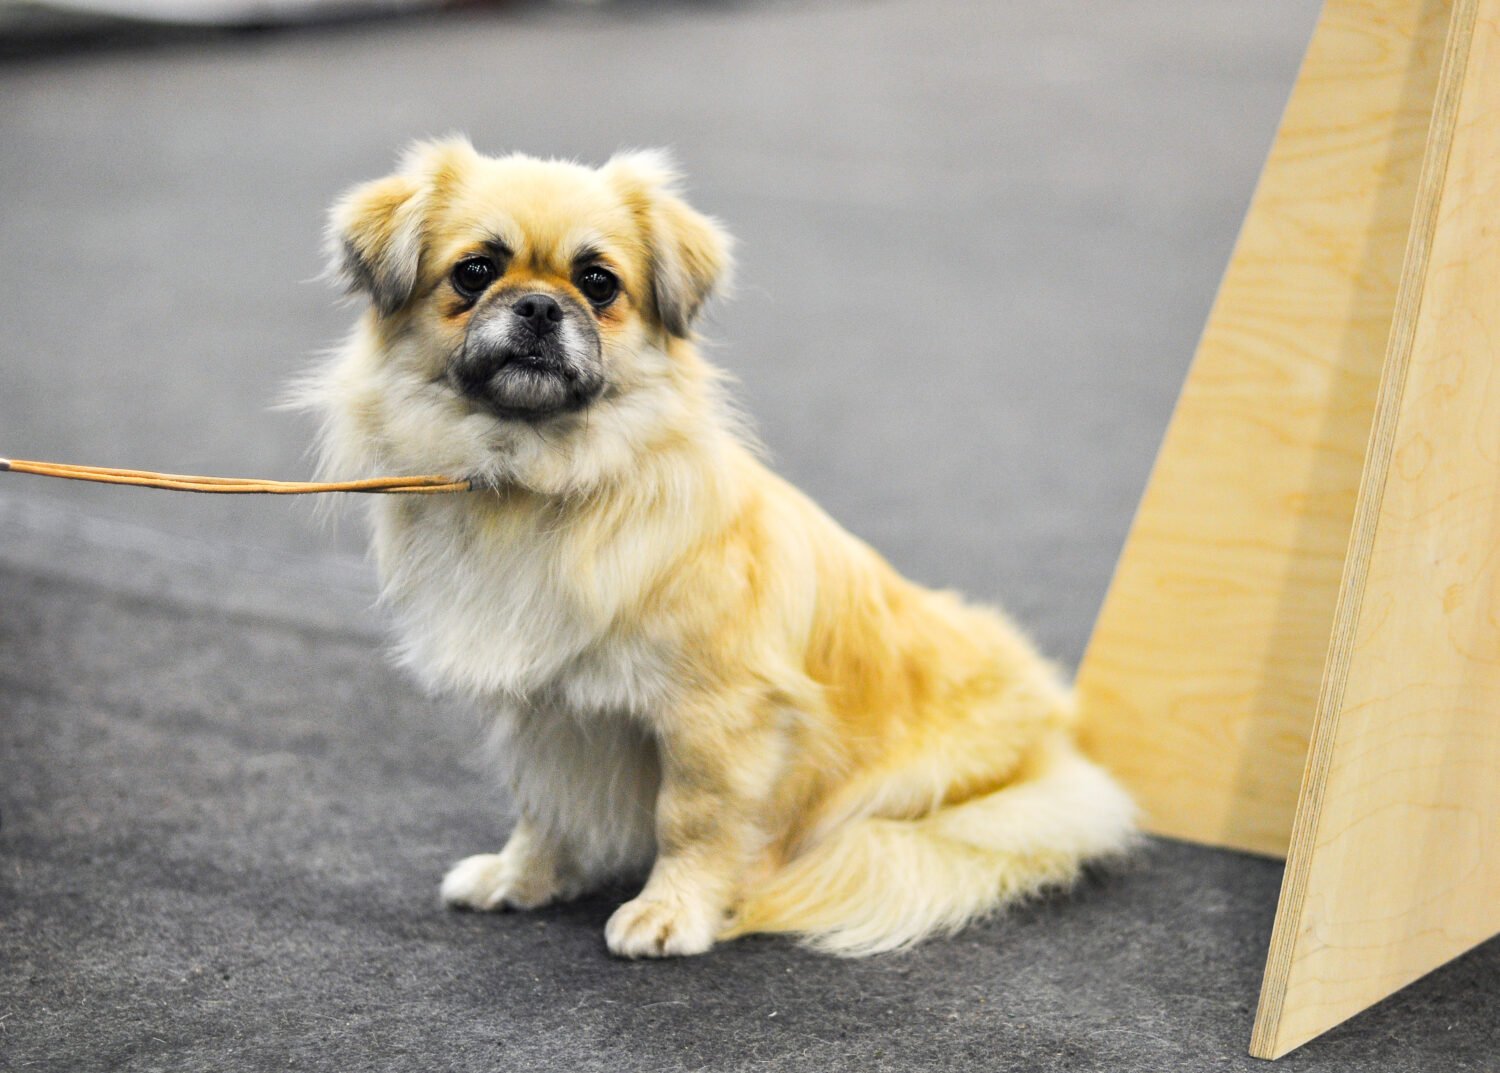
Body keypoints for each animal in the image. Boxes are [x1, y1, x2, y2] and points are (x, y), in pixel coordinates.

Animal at [298, 138, 1128, 960]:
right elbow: (545, 804)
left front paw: (671, 912)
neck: (537, 478)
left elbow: (693, 819)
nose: (538, 305)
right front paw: (523, 877)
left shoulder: (717, 717)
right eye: (474, 272)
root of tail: (1060, 744)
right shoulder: (543, 710)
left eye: (598, 283)